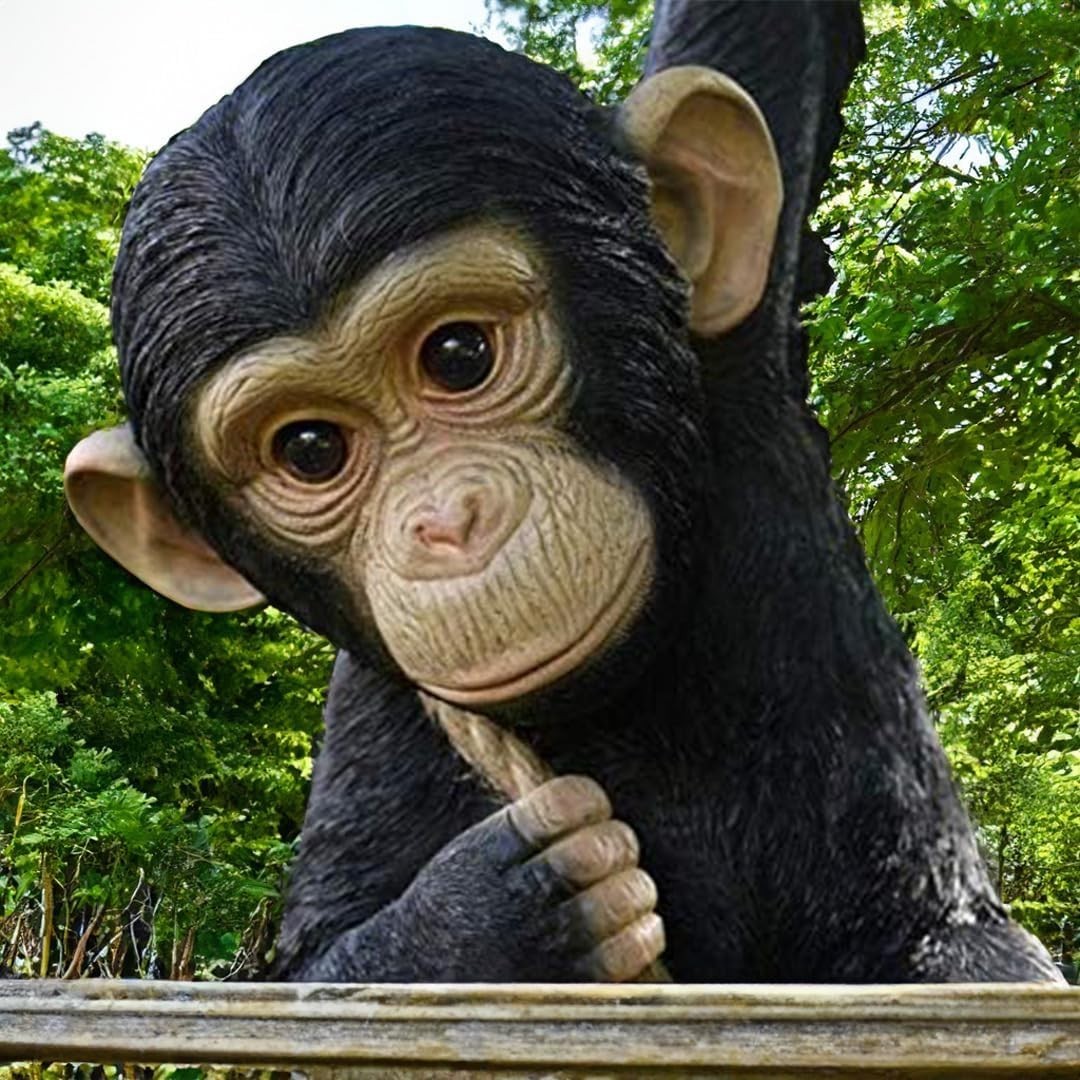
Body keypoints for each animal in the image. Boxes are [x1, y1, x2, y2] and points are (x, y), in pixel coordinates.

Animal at [63, 22, 1063, 984]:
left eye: (459, 354)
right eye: (310, 450)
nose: (448, 521)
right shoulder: (375, 717)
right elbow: (312, 968)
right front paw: (499, 914)